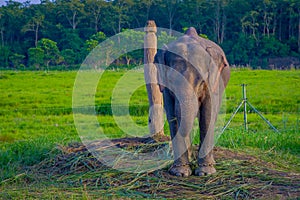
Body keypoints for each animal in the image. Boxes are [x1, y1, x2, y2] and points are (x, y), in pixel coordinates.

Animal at [155, 27, 230, 177]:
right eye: (171, 81)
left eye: (201, 80)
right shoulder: (165, 89)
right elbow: (172, 117)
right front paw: (180, 173)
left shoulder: (212, 83)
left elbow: (207, 116)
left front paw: (205, 172)